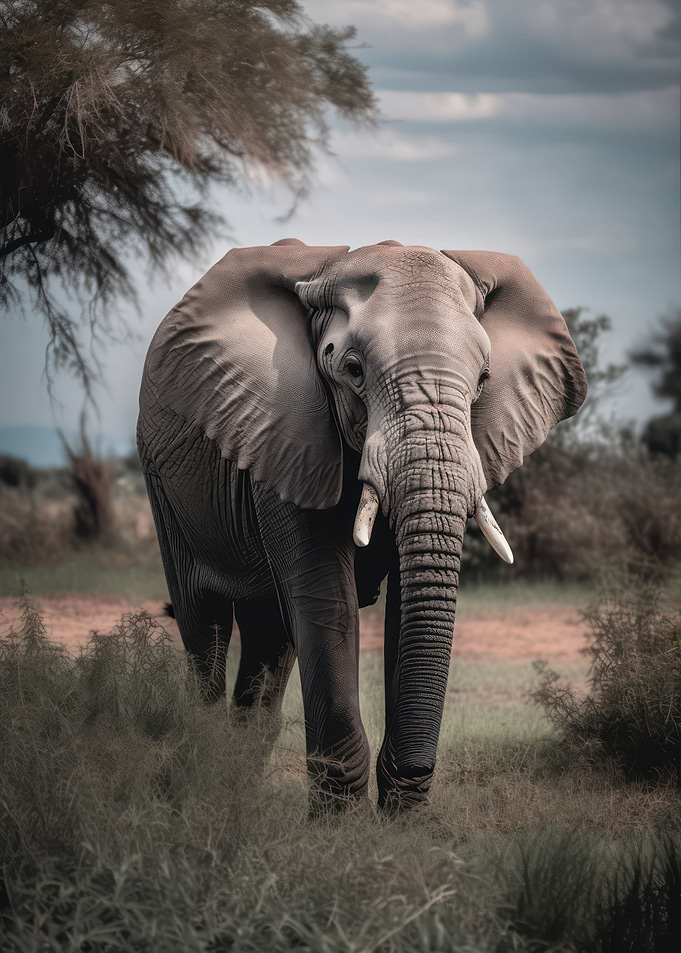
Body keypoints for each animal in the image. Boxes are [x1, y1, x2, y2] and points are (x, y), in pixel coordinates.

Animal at [137, 238, 587, 813]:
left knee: (268, 639)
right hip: (161, 477)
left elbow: (405, 609)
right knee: (205, 628)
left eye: (484, 379)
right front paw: (339, 824)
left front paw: (399, 818)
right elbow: (325, 599)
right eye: (352, 369)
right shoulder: (287, 426)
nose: (410, 773)